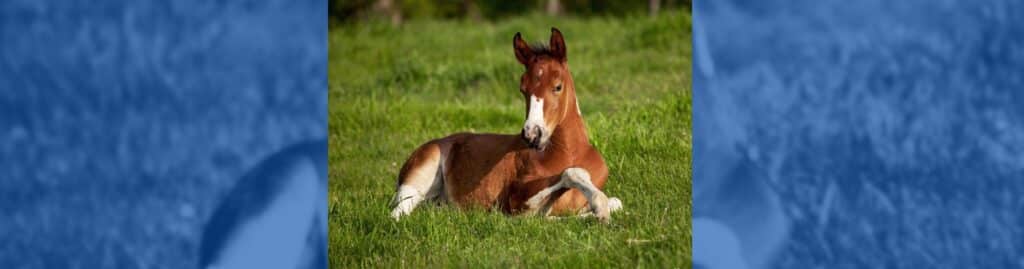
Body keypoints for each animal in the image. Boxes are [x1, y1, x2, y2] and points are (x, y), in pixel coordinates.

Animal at [387, 27, 618, 222]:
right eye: (523, 89)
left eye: (557, 86)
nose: (532, 134)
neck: (570, 152)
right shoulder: (515, 199)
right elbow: (570, 175)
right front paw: (599, 206)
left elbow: (615, 202)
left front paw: (599, 211)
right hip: (418, 177)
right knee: (398, 213)